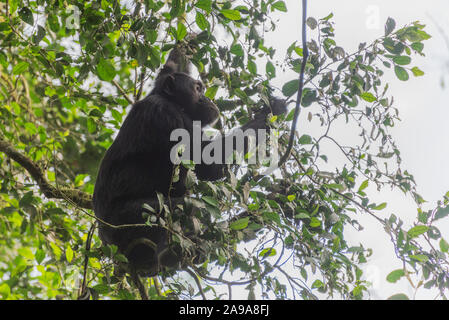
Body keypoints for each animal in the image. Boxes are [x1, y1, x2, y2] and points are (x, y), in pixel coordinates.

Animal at [92, 47, 286, 276]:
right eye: (198, 88)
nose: (208, 98)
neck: (173, 102)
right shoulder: (167, 116)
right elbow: (210, 164)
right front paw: (271, 110)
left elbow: (173, 64)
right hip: (127, 224)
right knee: (187, 207)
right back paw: (163, 255)